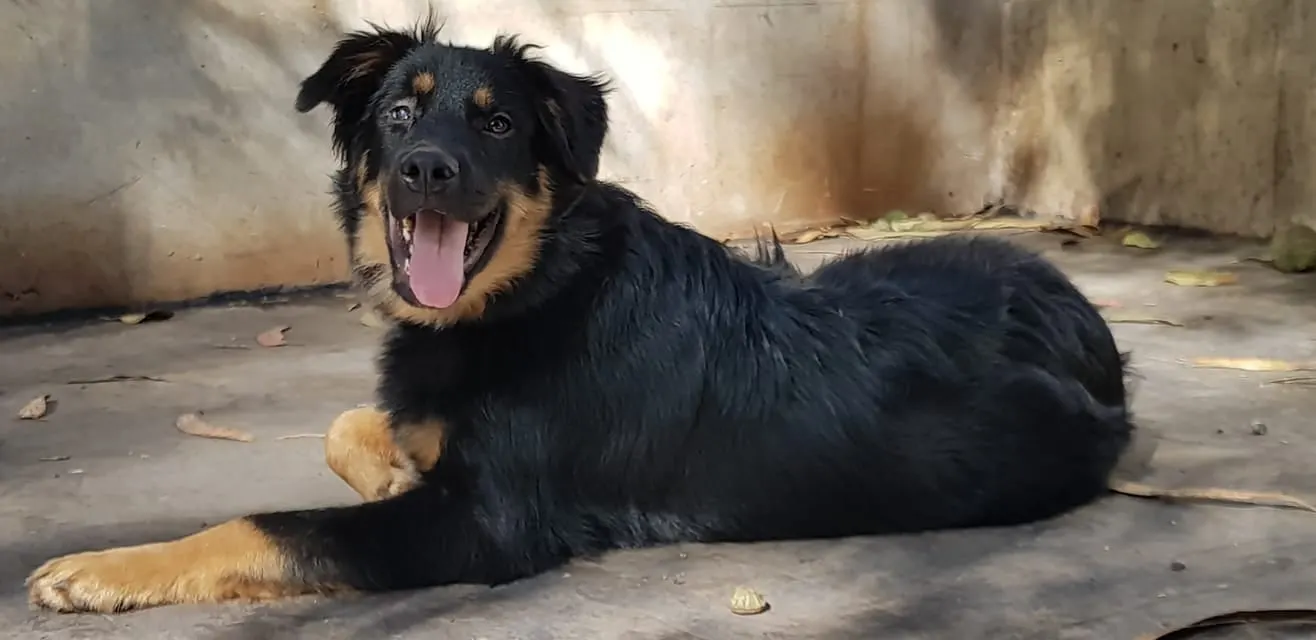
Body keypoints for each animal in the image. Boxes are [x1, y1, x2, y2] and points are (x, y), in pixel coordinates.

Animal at [30, 22, 1137, 613]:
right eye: (398, 114)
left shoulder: (484, 526)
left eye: (498, 124)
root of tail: (1085, 322)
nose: (426, 169)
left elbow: (271, 523)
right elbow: (349, 423)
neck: (537, 290)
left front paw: (106, 567)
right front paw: (393, 456)